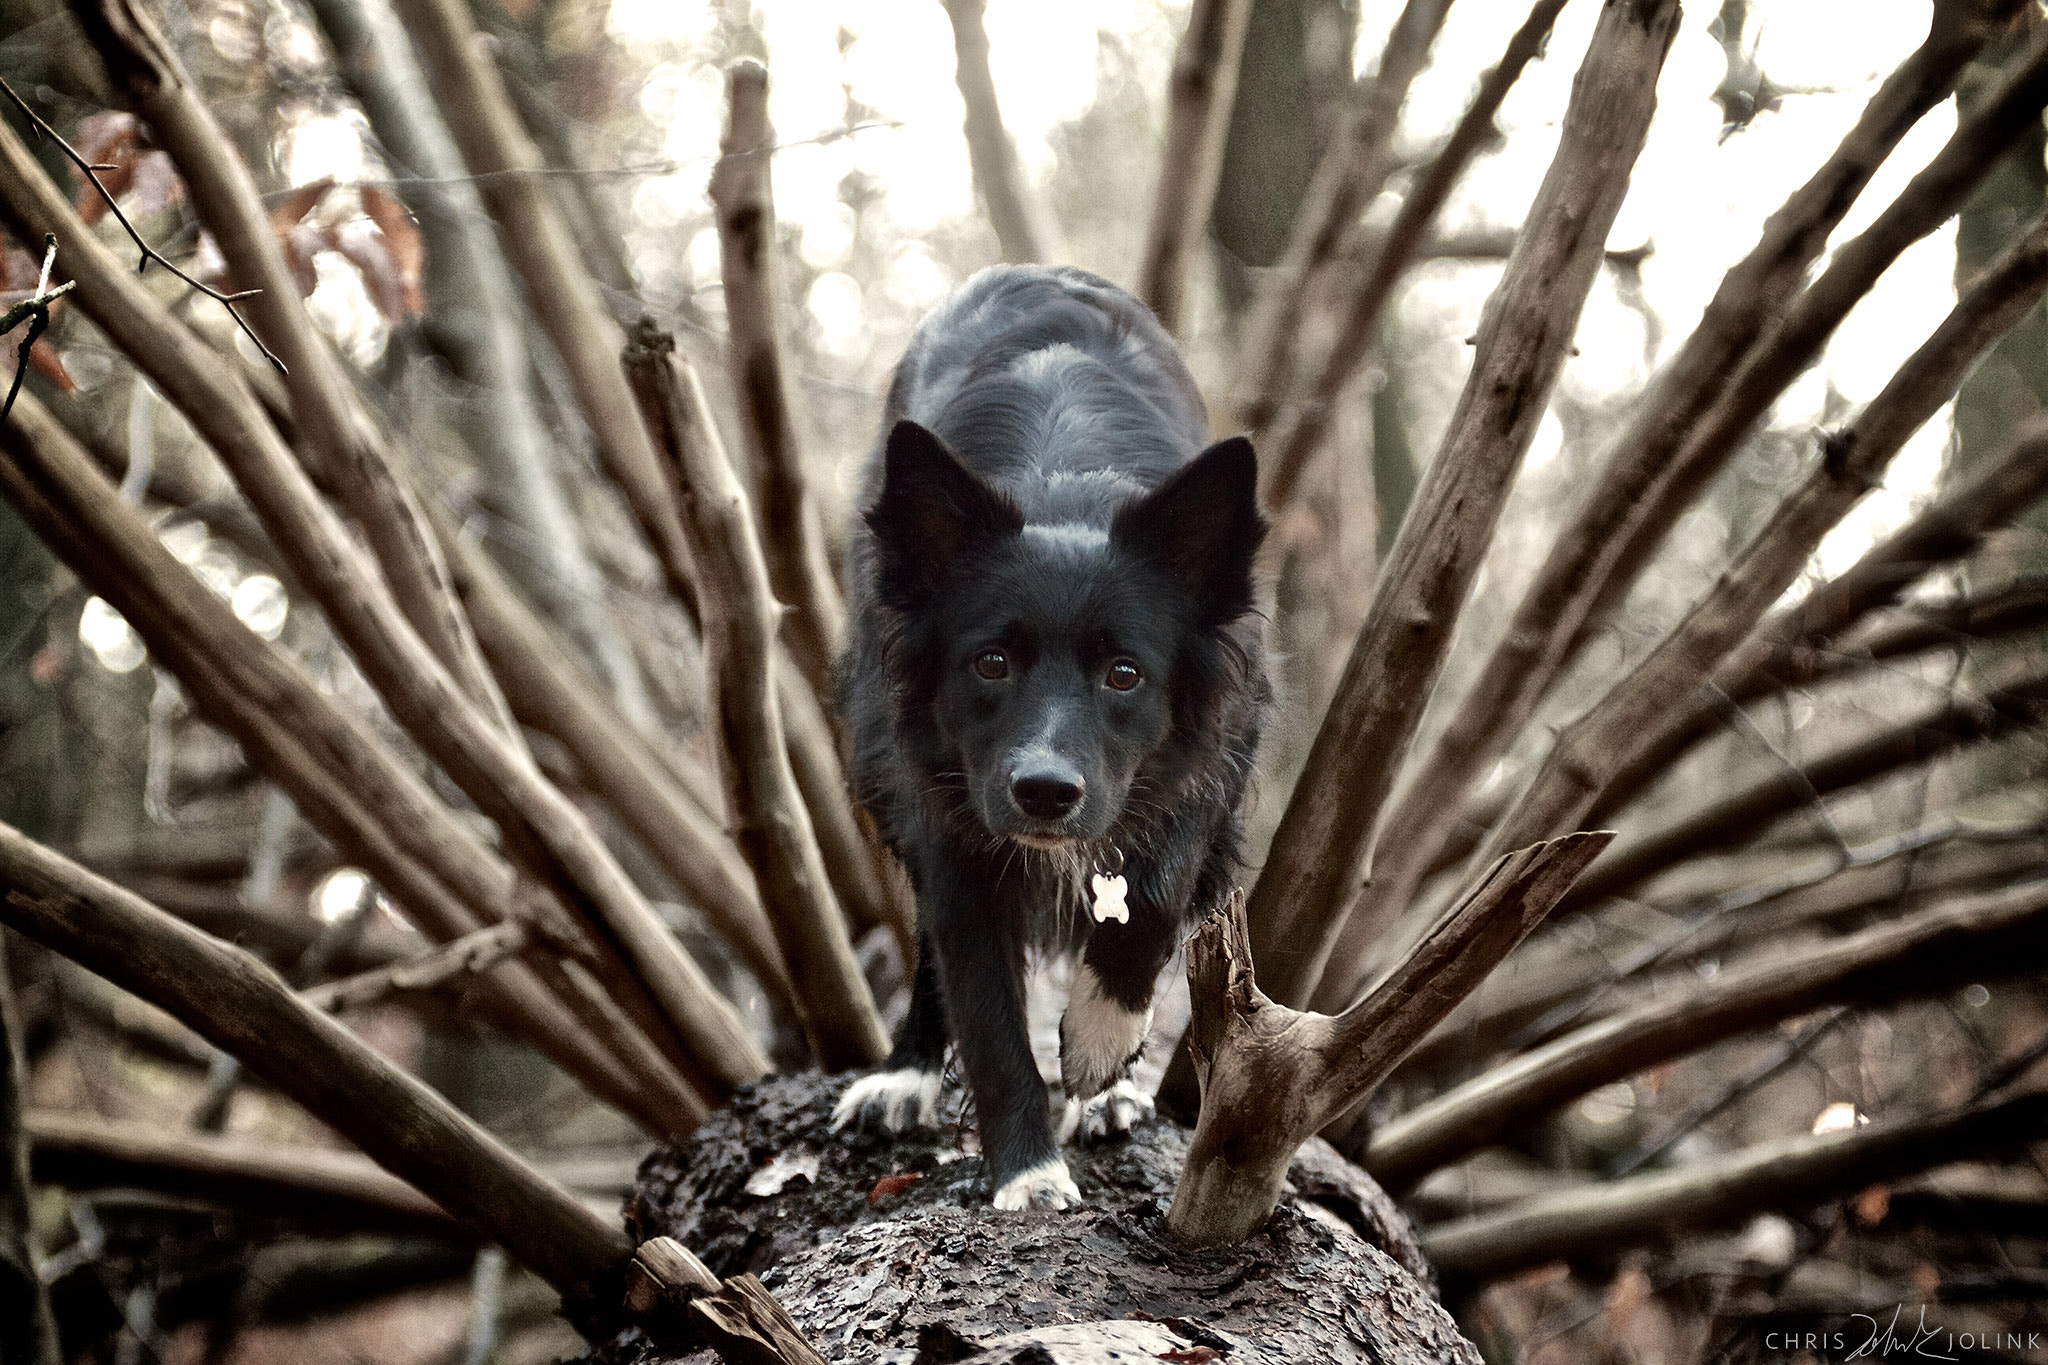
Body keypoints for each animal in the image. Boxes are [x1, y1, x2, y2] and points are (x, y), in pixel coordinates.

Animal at [831, 263, 1261, 1203]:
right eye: (991, 662)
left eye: (1125, 674)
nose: (1044, 793)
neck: (1065, 489)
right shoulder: (950, 815)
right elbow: (988, 1012)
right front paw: (1028, 1172)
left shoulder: (1205, 773)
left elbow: (1149, 905)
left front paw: (1098, 1053)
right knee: (929, 947)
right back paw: (907, 1070)